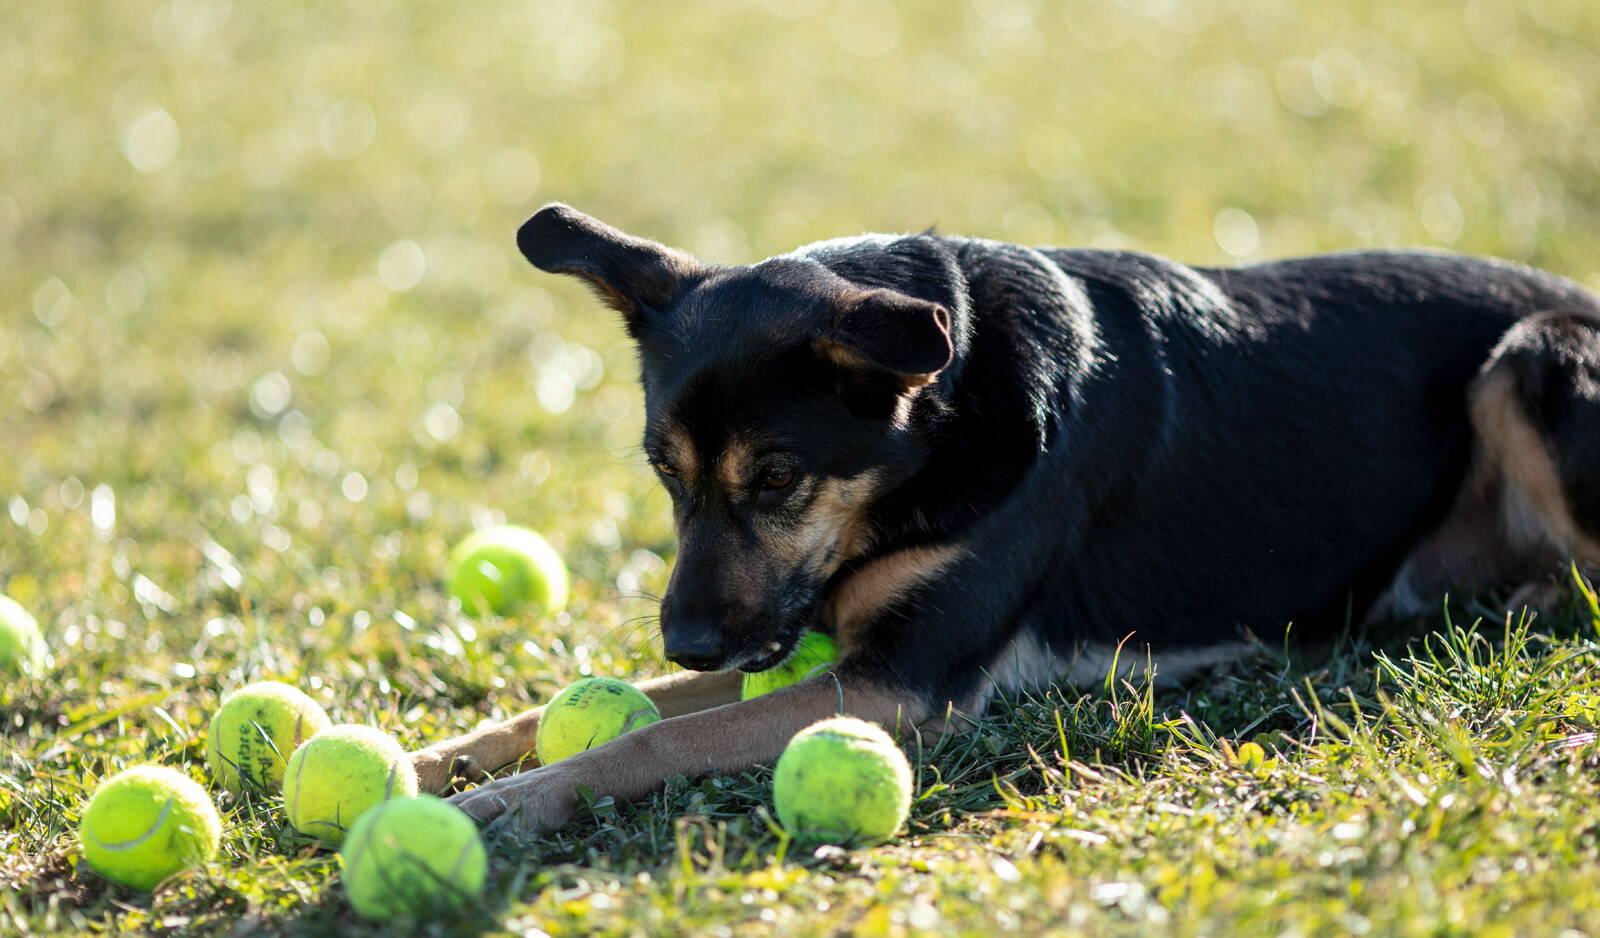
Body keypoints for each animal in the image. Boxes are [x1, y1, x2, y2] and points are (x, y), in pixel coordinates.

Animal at [412, 204, 1600, 825]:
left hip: (1532, 356)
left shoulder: (895, 682)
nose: (686, 640)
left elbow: (653, 740)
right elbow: (573, 712)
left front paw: (498, 806)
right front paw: (437, 761)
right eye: (664, 470)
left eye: (778, 476)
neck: (939, 421)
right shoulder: (812, 646)